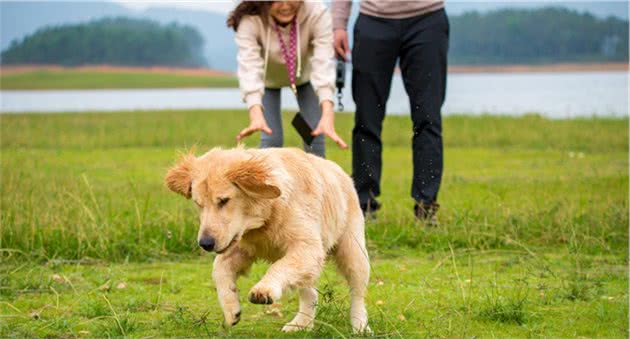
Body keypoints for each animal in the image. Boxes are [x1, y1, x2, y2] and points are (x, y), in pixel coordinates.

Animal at [164, 147, 370, 334]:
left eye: (224, 200)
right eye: (198, 204)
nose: (205, 244)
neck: (263, 220)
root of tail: (339, 171)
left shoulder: (307, 247)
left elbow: (279, 266)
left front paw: (264, 290)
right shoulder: (241, 246)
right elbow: (219, 268)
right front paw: (231, 309)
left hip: (353, 250)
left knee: (357, 291)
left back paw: (359, 325)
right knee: (309, 292)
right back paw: (301, 324)